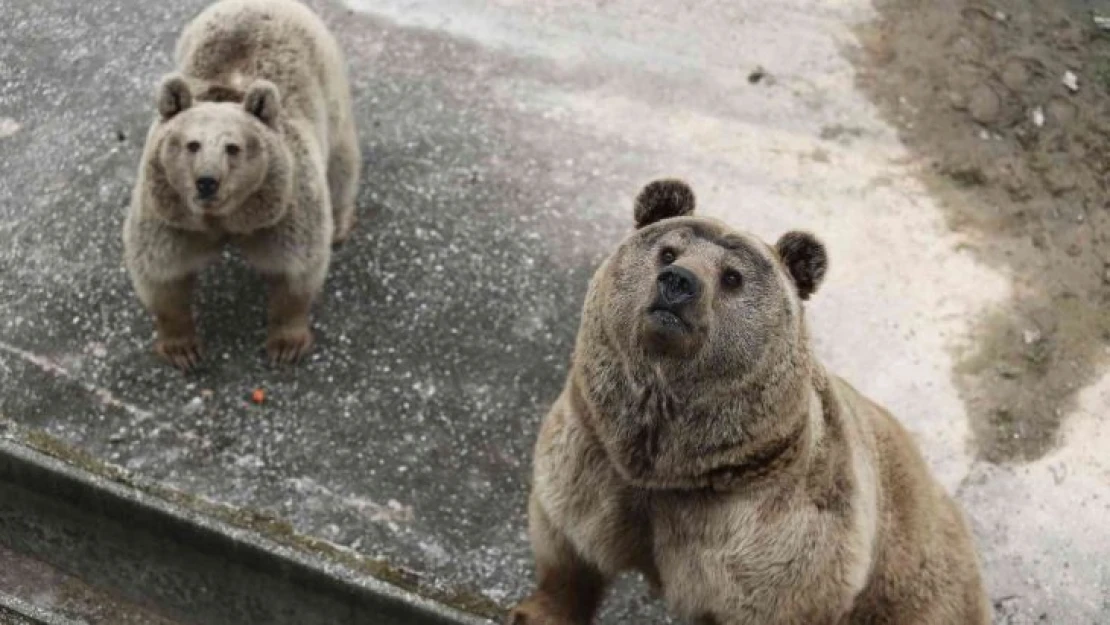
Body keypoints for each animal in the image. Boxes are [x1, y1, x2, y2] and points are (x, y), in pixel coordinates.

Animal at [125, 0, 359, 370]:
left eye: (232, 147)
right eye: (192, 144)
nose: (207, 182)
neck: (226, 220)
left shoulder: (285, 208)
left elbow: (297, 268)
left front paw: (286, 343)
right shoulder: (169, 214)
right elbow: (161, 274)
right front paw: (182, 348)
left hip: (330, 85)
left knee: (341, 162)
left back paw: (339, 225)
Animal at [508, 179, 990, 625]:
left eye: (732, 277)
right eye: (668, 252)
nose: (678, 283)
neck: (672, 466)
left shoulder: (771, 530)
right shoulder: (596, 456)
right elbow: (568, 542)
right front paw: (538, 612)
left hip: (917, 588)